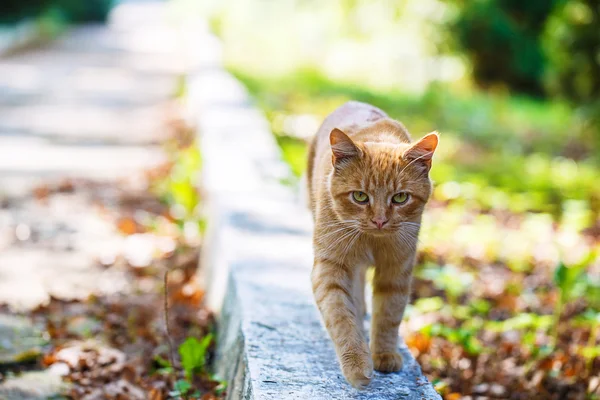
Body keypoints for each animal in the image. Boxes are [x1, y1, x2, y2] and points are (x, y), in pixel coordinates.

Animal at [308, 101, 438, 390]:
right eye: (360, 196)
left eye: (400, 198)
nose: (379, 220)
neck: (371, 241)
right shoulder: (330, 267)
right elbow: (341, 317)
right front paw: (357, 364)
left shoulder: (397, 270)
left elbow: (389, 315)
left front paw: (385, 354)